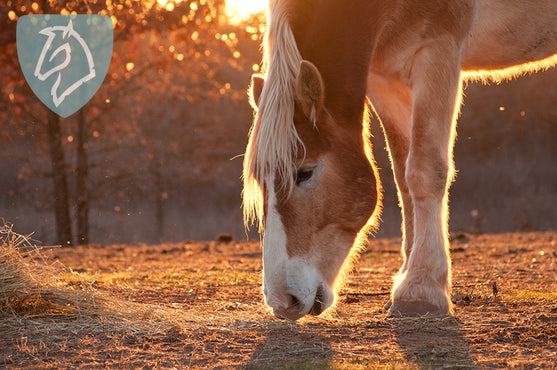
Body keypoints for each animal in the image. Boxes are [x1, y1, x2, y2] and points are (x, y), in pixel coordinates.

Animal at [243, 0, 556, 320]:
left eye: (304, 172)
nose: (282, 301)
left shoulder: (437, 50)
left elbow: (423, 170)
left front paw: (421, 288)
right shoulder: (384, 77)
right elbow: (403, 175)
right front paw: (409, 274)